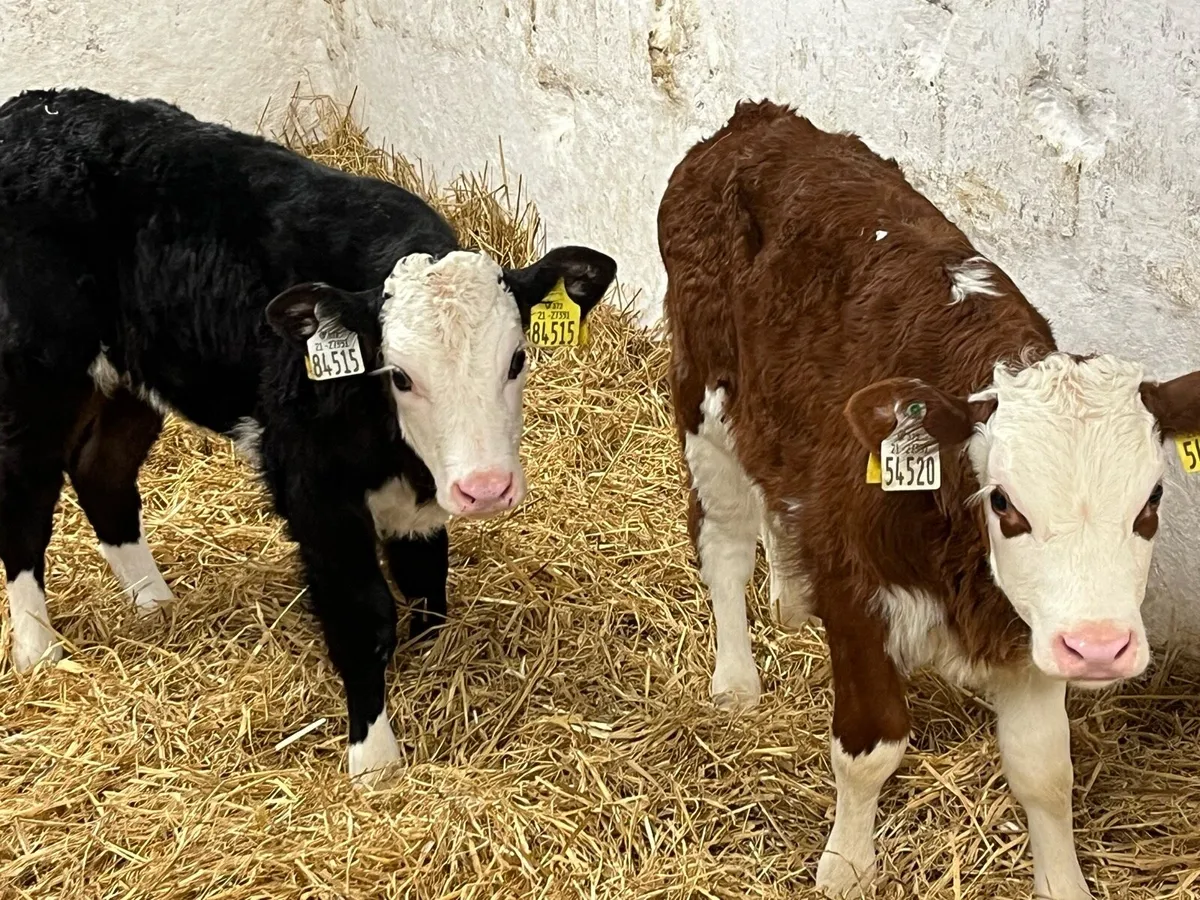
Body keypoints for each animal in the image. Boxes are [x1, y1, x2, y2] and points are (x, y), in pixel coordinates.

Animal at [0, 88, 616, 784]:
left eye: (517, 359)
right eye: (400, 375)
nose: (485, 488)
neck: (395, 449)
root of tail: (35, 108)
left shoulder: (418, 502)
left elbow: (426, 581)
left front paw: (430, 664)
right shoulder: (313, 487)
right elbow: (362, 614)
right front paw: (375, 760)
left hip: (135, 377)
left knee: (103, 473)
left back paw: (155, 603)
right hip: (39, 374)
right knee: (25, 500)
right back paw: (38, 648)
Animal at [657, 99, 1200, 899]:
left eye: (1152, 500)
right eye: (1004, 503)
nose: (1099, 647)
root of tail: (756, 120)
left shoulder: (1027, 626)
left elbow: (1045, 772)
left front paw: (1063, 882)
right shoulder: (858, 590)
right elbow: (870, 747)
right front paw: (847, 866)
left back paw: (790, 596)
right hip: (707, 397)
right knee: (723, 541)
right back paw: (735, 681)